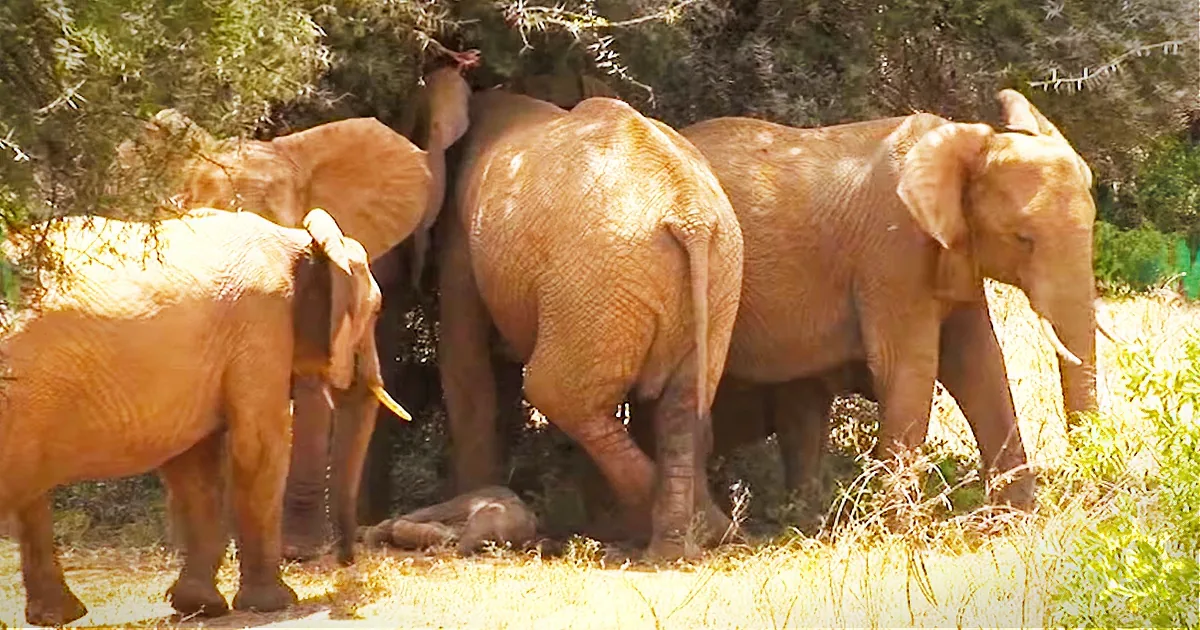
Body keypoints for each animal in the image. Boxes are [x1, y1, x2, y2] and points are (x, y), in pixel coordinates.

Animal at [0, 208, 405, 626]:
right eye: (376, 310)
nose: (346, 560)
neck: (298, 240)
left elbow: (193, 465)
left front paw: (199, 607)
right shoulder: (262, 325)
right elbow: (259, 447)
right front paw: (273, 604)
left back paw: (59, 616)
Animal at [430, 68, 745, 559]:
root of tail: (689, 216)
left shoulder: (463, 238)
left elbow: (464, 362)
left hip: (600, 276)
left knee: (555, 392)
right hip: (708, 276)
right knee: (680, 403)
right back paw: (682, 542)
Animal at [637, 89, 1099, 508]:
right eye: (1023, 239)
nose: (1084, 477)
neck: (959, 148)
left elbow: (978, 363)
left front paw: (1019, 516)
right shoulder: (893, 253)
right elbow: (911, 366)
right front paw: (899, 527)